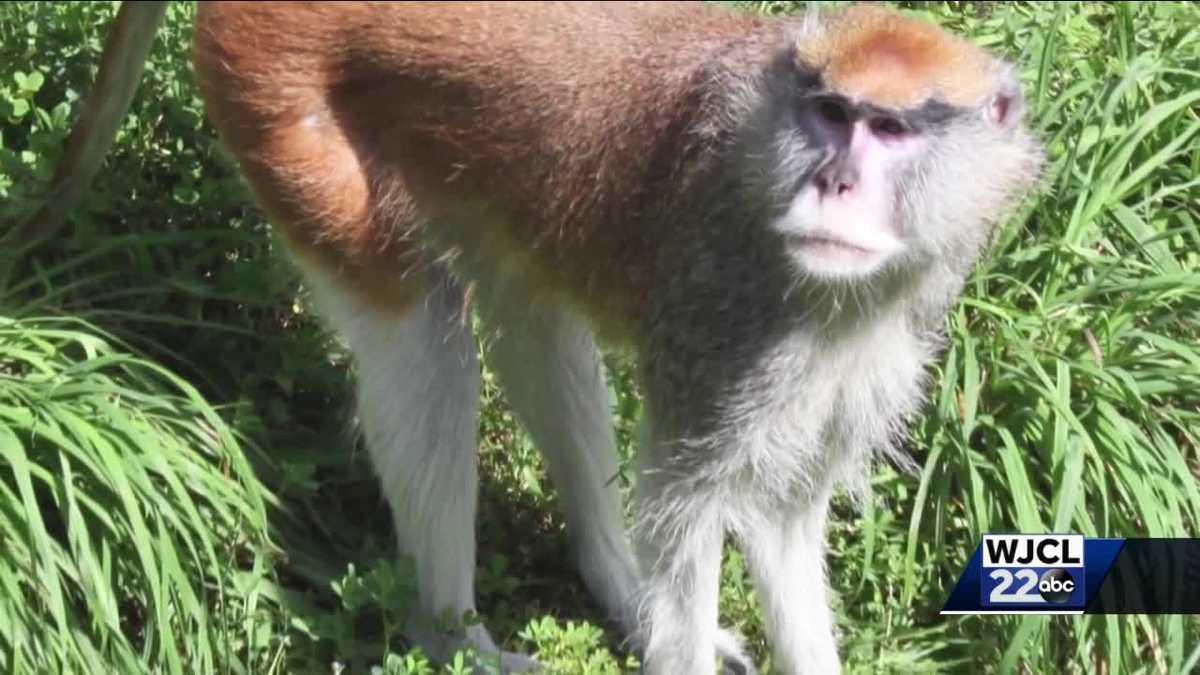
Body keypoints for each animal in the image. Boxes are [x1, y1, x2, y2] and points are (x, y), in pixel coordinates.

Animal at [27, 2, 1045, 673]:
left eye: (890, 129)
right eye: (832, 114)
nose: (832, 184)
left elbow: (786, 513)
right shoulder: (725, 322)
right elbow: (690, 502)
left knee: (530, 315)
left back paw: (617, 589)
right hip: (284, 111)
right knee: (425, 337)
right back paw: (453, 637)